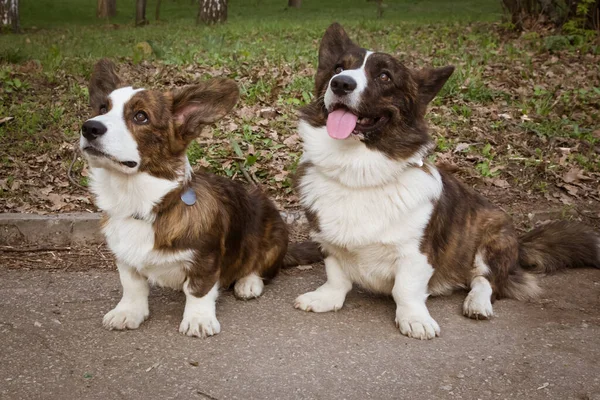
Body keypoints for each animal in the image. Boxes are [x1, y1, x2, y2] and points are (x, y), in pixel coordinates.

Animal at [81, 58, 322, 338]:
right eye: (102, 108)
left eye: (140, 116)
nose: (89, 127)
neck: (141, 202)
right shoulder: (124, 258)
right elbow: (132, 285)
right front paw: (127, 312)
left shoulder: (205, 260)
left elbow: (198, 290)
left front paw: (198, 320)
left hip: (271, 233)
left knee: (259, 267)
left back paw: (248, 283)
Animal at [294, 23, 600, 340]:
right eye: (338, 68)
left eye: (384, 76)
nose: (341, 84)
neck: (358, 174)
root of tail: (520, 242)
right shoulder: (329, 244)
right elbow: (336, 276)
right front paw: (326, 298)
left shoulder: (417, 254)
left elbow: (406, 290)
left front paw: (414, 319)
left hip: (492, 239)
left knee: (486, 281)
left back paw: (477, 304)